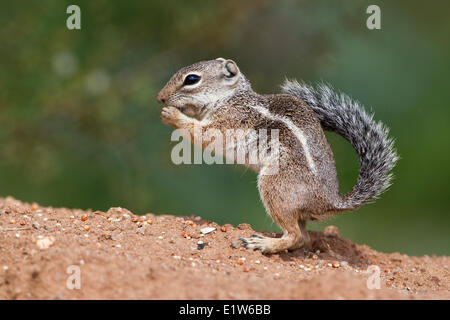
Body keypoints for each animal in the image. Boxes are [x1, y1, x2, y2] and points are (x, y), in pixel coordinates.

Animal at [157, 57, 398, 252]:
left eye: (192, 79)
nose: (160, 98)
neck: (231, 99)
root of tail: (331, 202)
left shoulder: (227, 122)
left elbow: (202, 134)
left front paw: (172, 115)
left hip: (275, 186)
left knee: (295, 235)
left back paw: (264, 244)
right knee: (304, 237)